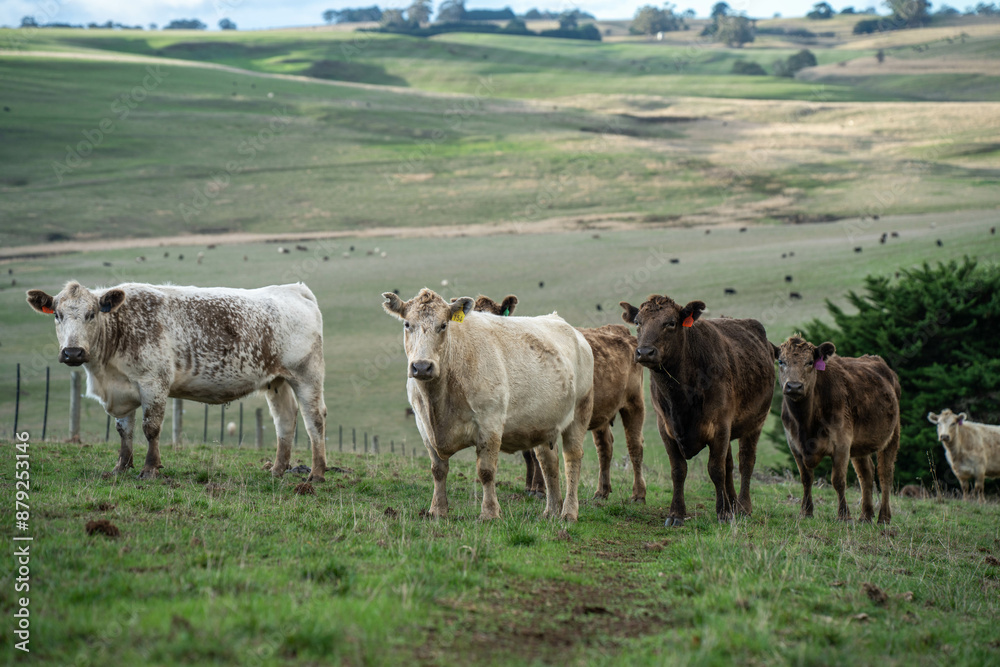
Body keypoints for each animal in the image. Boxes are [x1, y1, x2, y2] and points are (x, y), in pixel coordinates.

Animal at [26, 281, 328, 481]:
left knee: (314, 419)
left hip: (307, 376)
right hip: (277, 381)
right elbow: (124, 431)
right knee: (285, 420)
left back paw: (316, 473)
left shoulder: (154, 382)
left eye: (92, 314)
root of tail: (294, 289)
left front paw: (150, 468)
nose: (72, 352)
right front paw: (121, 467)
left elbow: (151, 428)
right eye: (57, 315)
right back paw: (277, 469)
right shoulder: (122, 391)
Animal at [382, 288, 594, 521]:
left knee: (572, 458)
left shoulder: (489, 423)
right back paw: (551, 511)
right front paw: (437, 510)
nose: (421, 366)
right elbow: (438, 469)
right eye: (407, 324)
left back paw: (569, 512)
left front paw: (490, 512)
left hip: (580, 411)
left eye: (444, 325)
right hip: (542, 423)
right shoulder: (424, 427)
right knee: (549, 463)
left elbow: (486, 471)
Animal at [470, 296, 646, 503]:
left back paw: (638, 494)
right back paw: (602, 491)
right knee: (605, 447)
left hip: (634, 402)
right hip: (601, 410)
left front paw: (539, 488)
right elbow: (528, 453)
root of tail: (620, 330)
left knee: (635, 446)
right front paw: (530, 486)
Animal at [620, 295, 774, 525]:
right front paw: (676, 514)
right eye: (638, 322)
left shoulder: (720, 426)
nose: (645, 352)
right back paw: (733, 503)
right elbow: (679, 470)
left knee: (746, 462)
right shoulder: (665, 427)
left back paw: (743, 508)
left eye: (671, 323)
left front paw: (723, 513)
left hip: (755, 422)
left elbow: (716, 469)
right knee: (730, 464)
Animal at [776, 336, 901, 524]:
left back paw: (884, 517)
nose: (794, 386)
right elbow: (806, 478)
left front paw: (844, 515)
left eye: (810, 362)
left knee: (885, 474)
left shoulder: (841, 443)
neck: (805, 423)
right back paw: (865, 516)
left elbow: (838, 480)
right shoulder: (794, 445)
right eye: (781, 361)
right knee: (866, 474)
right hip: (860, 443)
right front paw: (806, 511)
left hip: (893, 434)